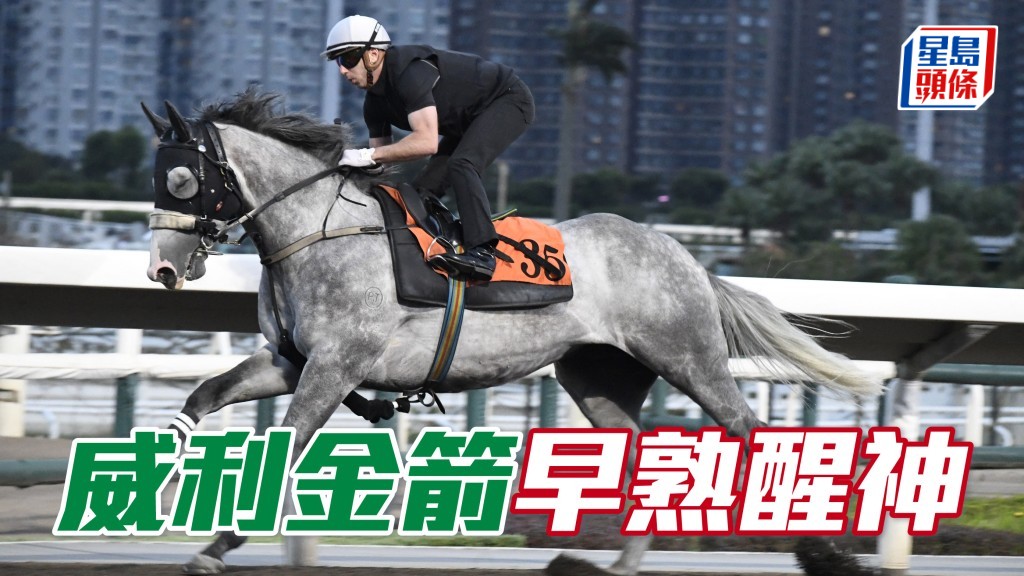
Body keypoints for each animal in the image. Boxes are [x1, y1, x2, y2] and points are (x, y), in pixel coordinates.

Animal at [141, 89, 881, 576]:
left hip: (688, 356)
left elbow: (286, 445)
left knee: (752, 434)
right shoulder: (291, 361)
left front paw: (221, 541)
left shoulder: (336, 365)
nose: (162, 271)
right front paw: (156, 491)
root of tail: (689, 259)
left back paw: (823, 550)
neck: (317, 232)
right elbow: (203, 398)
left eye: (181, 179)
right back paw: (617, 565)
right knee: (642, 459)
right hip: (596, 375)